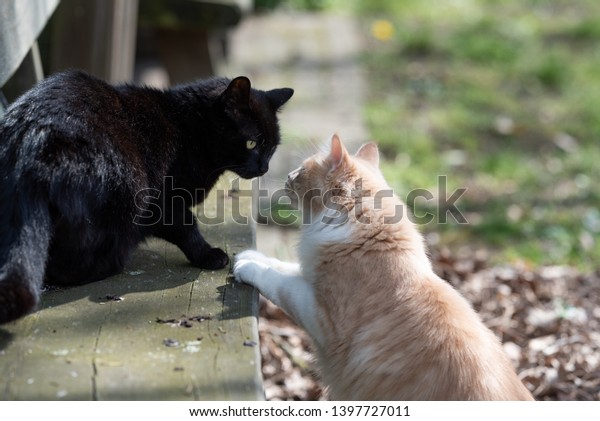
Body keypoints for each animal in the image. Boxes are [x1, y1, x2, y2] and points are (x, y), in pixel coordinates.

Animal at [0, 70, 292, 324]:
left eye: (272, 147)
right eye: (251, 143)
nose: (264, 167)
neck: (190, 129)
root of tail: (31, 144)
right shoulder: (163, 201)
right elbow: (186, 226)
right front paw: (208, 255)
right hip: (126, 189)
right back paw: (109, 264)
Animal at [234, 135, 536, 400]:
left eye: (301, 170)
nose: (288, 175)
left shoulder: (320, 313)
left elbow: (278, 281)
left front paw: (247, 266)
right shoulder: (309, 277)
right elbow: (282, 266)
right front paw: (248, 255)